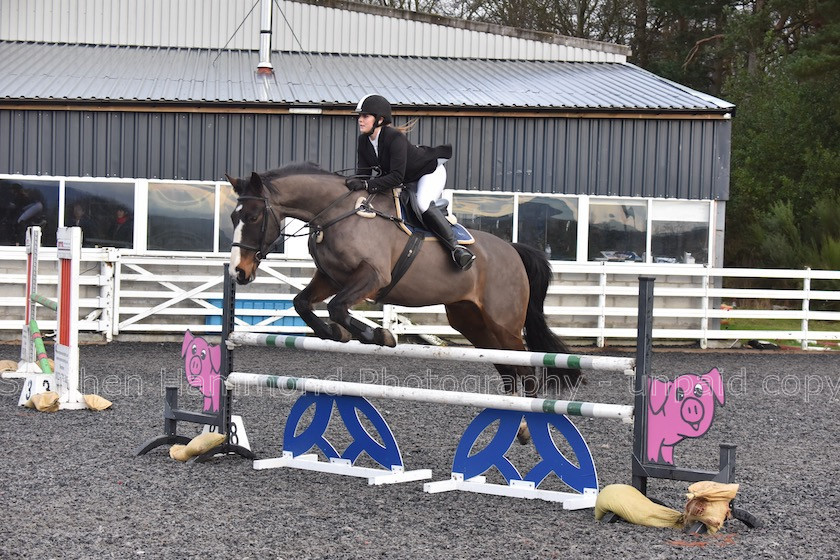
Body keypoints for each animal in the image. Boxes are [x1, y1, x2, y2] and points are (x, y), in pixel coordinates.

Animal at [228, 164, 584, 440]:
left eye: (255, 216)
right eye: (234, 217)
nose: (238, 272)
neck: (334, 213)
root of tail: (513, 250)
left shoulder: (372, 277)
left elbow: (337, 307)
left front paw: (379, 335)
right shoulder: (331, 278)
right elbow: (303, 303)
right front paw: (336, 334)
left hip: (503, 324)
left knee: (526, 371)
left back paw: (527, 429)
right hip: (474, 324)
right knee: (509, 371)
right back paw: (516, 429)